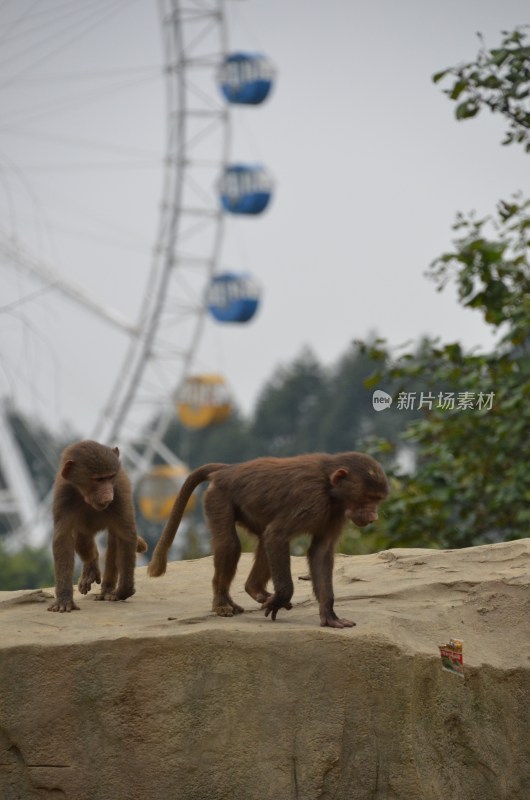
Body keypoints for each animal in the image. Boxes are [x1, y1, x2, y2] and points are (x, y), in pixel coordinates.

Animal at [48, 440, 146, 616]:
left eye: (110, 477)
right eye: (98, 480)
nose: (108, 496)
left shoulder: (119, 492)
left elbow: (126, 536)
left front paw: (123, 591)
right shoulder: (65, 494)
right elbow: (63, 539)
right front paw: (64, 599)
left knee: (114, 540)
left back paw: (107, 589)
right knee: (83, 541)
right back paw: (91, 567)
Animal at [148, 454, 388, 628]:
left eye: (377, 499)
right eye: (368, 498)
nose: (374, 516)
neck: (329, 487)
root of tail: (228, 470)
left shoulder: (336, 513)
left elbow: (320, 552)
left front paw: (329, 615)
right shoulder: (311, 500)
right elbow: (277, 536)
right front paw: (282, 598)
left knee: (263, 539)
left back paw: (254, 589)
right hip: (217, 497)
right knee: (231, 544)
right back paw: (222, 602)